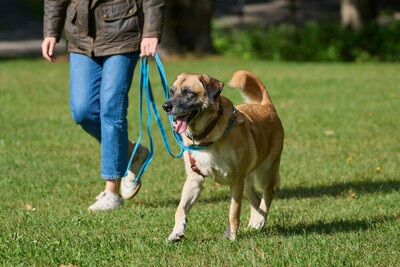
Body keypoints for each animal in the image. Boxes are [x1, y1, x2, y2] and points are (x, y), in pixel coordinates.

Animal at [162, 70, 284, 242]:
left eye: (188, 92)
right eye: (172, 92)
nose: (165, 106)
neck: (206, 137)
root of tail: (266, 106)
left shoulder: (236, 180)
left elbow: (233, 212)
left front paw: (230, 236)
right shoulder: (194, 179)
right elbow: (180, 209)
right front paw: (177, 232)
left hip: (265, 171)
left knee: (268, 193)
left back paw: (260, 220)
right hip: (247, 183)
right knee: (255, 199)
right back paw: (255, 223)